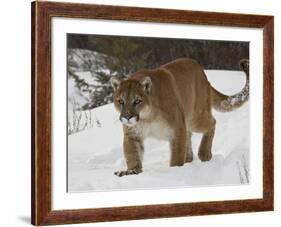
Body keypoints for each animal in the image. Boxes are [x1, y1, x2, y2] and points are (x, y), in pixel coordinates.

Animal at [110, 57, 248, 176]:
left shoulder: (177, 129)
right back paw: (189, 159)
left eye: (137, 101)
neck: (147, 117)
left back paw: (204, 154)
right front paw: (131, 171)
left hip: (194, 118)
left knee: (212, 122)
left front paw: (175, 170)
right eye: (121, 101)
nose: (127, 117)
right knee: (189, 138)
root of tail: (203, 73)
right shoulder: (132, 134)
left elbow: (177, 155)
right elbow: (132, 155)